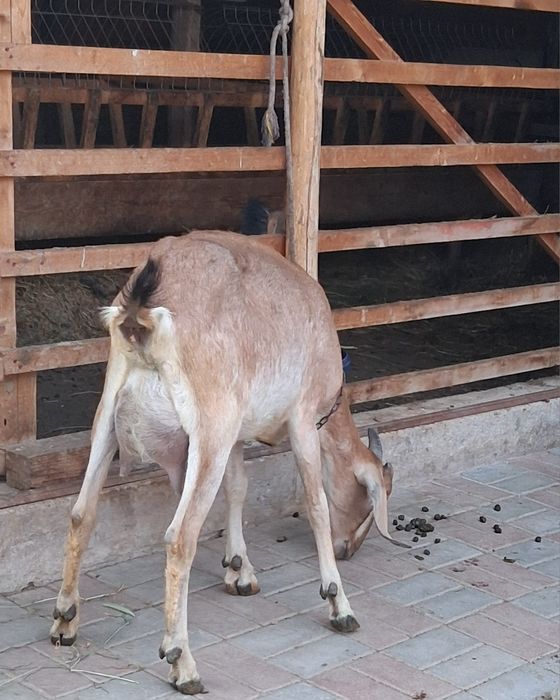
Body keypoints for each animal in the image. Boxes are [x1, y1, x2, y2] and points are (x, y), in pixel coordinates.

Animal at [50, 231, 402, 695]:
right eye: (367, 503)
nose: (348, 551)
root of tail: (143, 315)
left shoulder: (236, 432)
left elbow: (238, 488)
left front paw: (239, 570)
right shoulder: (302, 421)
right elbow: (315, 504)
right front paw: (337, 601)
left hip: (110, 414)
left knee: (81, 514)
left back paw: (65, 621)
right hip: (209, 428)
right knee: (179, 537)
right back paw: (182, 663)